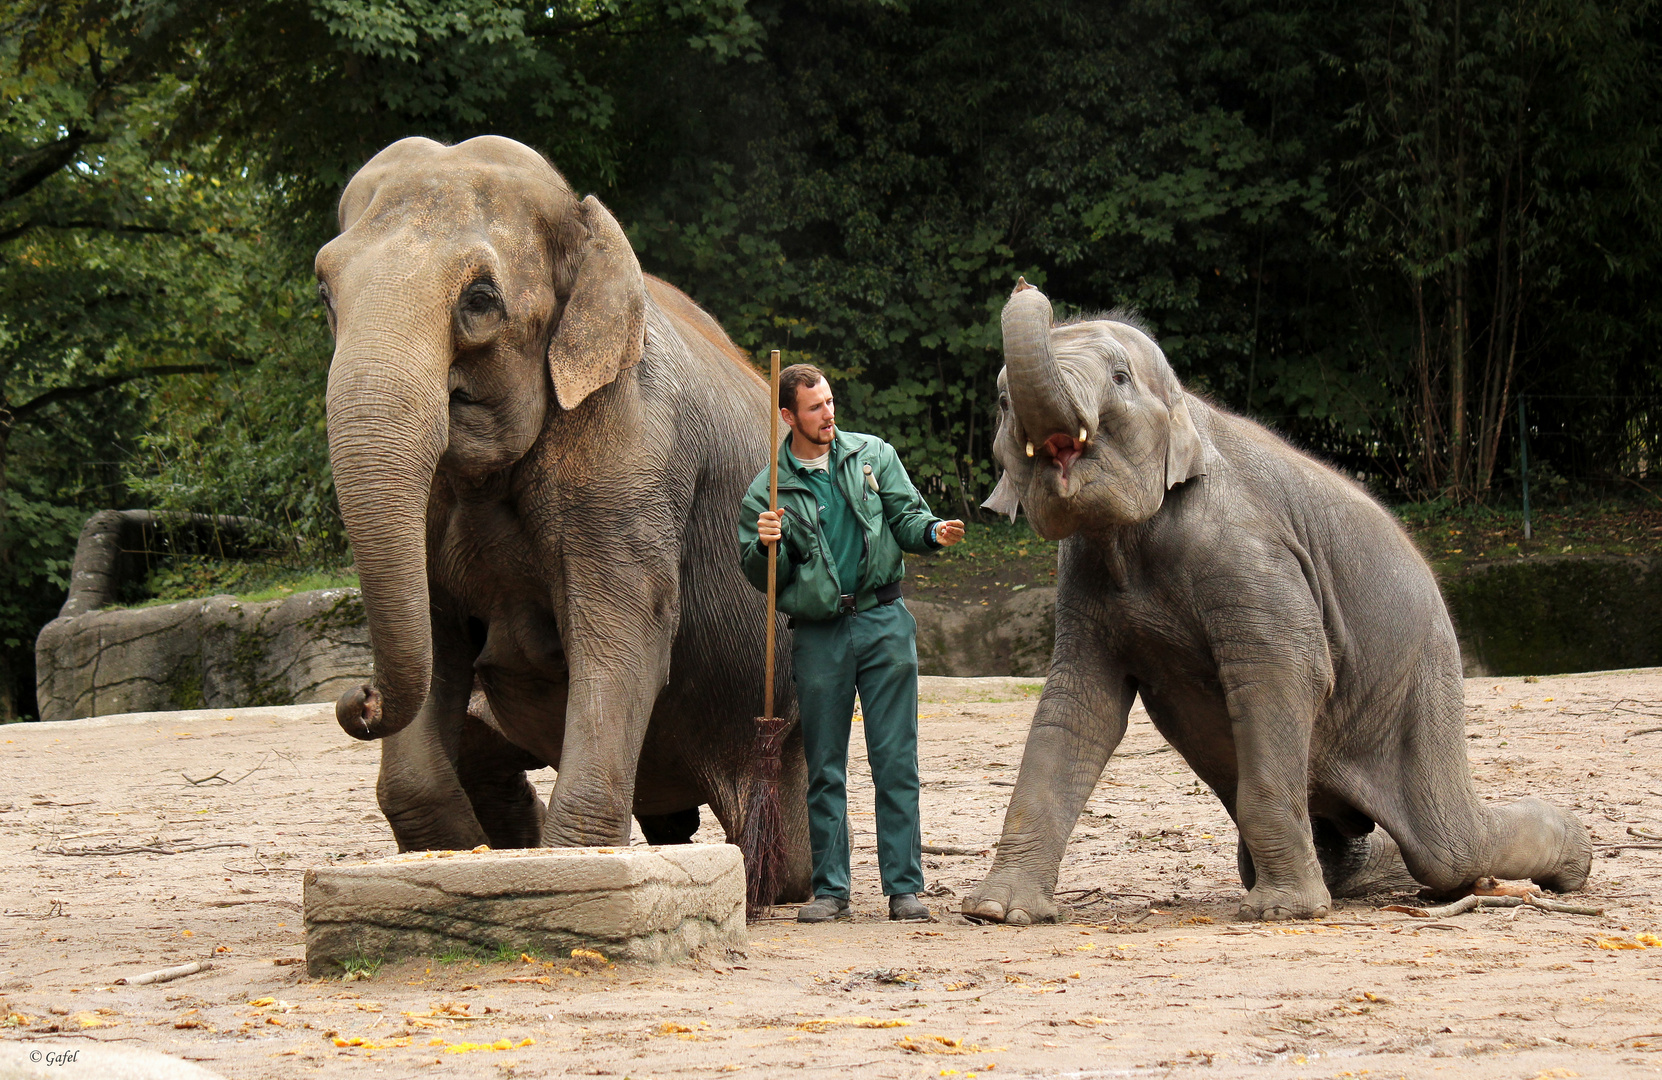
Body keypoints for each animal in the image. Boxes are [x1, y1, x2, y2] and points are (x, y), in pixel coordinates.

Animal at [317, 130, 811, 897]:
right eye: (324, 292)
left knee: (788, 846)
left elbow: (621, 632)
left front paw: (570, 865)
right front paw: (462, 858)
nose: (357, 699)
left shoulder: (631, 445)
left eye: (480, 299)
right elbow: (436, 636)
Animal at [970, 277, 1588, 917]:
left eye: (1119, 377)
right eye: (1001, 401)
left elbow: (1283, 671)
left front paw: (1282, 912)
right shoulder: (1085, 575)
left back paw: (1573, 857)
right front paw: (1000, 912)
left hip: (1424, 680)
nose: (1025, 285)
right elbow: (1079, 703)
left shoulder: (1250, 551)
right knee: (1371, 844)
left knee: (1448, 847)